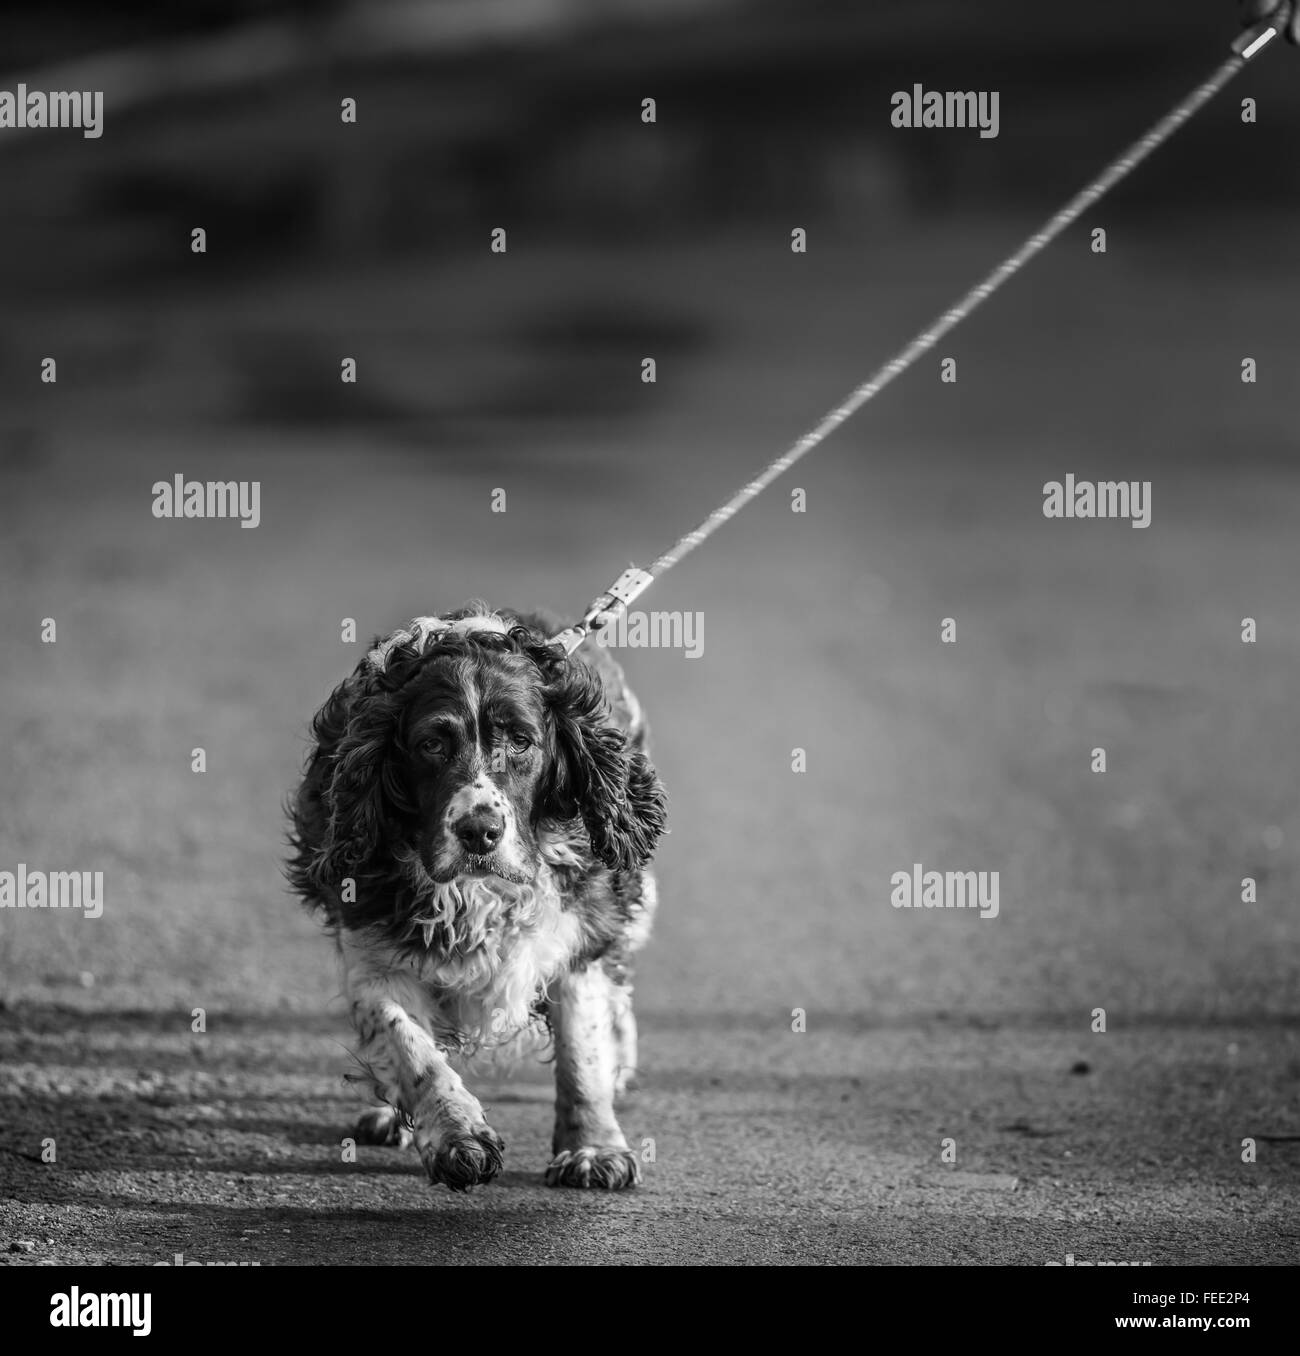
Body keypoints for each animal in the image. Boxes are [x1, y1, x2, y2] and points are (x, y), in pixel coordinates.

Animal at [286, 602, 672, 1187]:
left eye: (522, 741)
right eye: (431, 745)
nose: (479, 832)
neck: (479, 891)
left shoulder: (578, 935)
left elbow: (582, 1052)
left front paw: (593, 1149)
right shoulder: (374, 955)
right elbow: (412, 1050)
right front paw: (457, 1135)